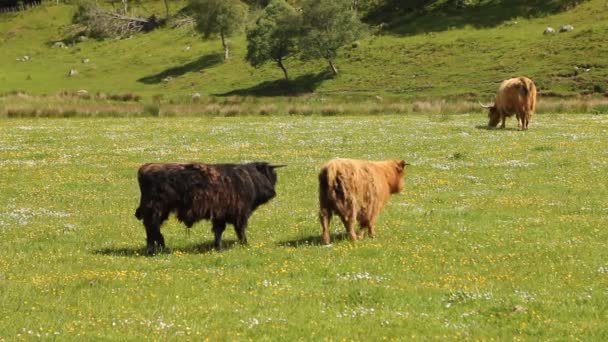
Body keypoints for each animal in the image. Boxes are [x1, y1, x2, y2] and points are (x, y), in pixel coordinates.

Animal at [134, 162, 284, 254]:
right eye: (269, 175)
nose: (273, 193)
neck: (248, 179)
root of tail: (145, 168)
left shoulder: (219, 215)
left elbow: (218, 231)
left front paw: (218, 247)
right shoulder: (240, 214)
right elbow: (239, 230)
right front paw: (245, 244)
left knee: (153, 229)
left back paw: (160, 248)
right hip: (155, 210)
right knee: (152, 229)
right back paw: (153, 250)